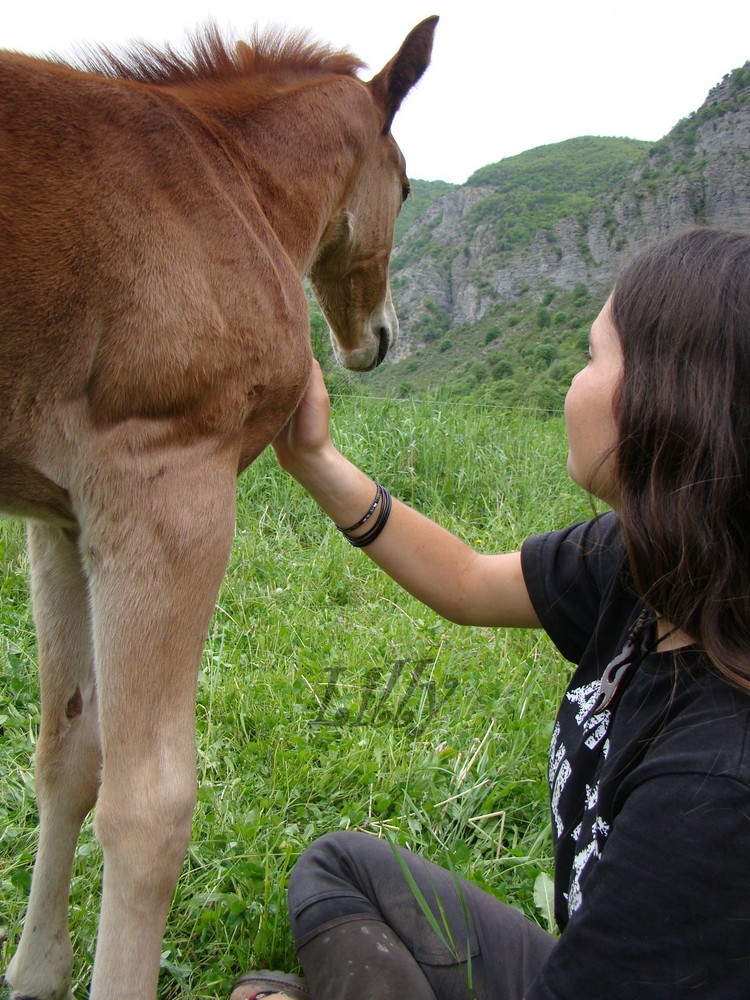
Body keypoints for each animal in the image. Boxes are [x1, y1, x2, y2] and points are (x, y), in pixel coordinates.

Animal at [0, 17, 438, 1000]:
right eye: (405, 185)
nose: (380, 338)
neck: (225, 179)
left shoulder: (61, 522)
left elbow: (67, 755)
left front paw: (36, 970)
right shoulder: (167, 488)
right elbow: (149, 809)